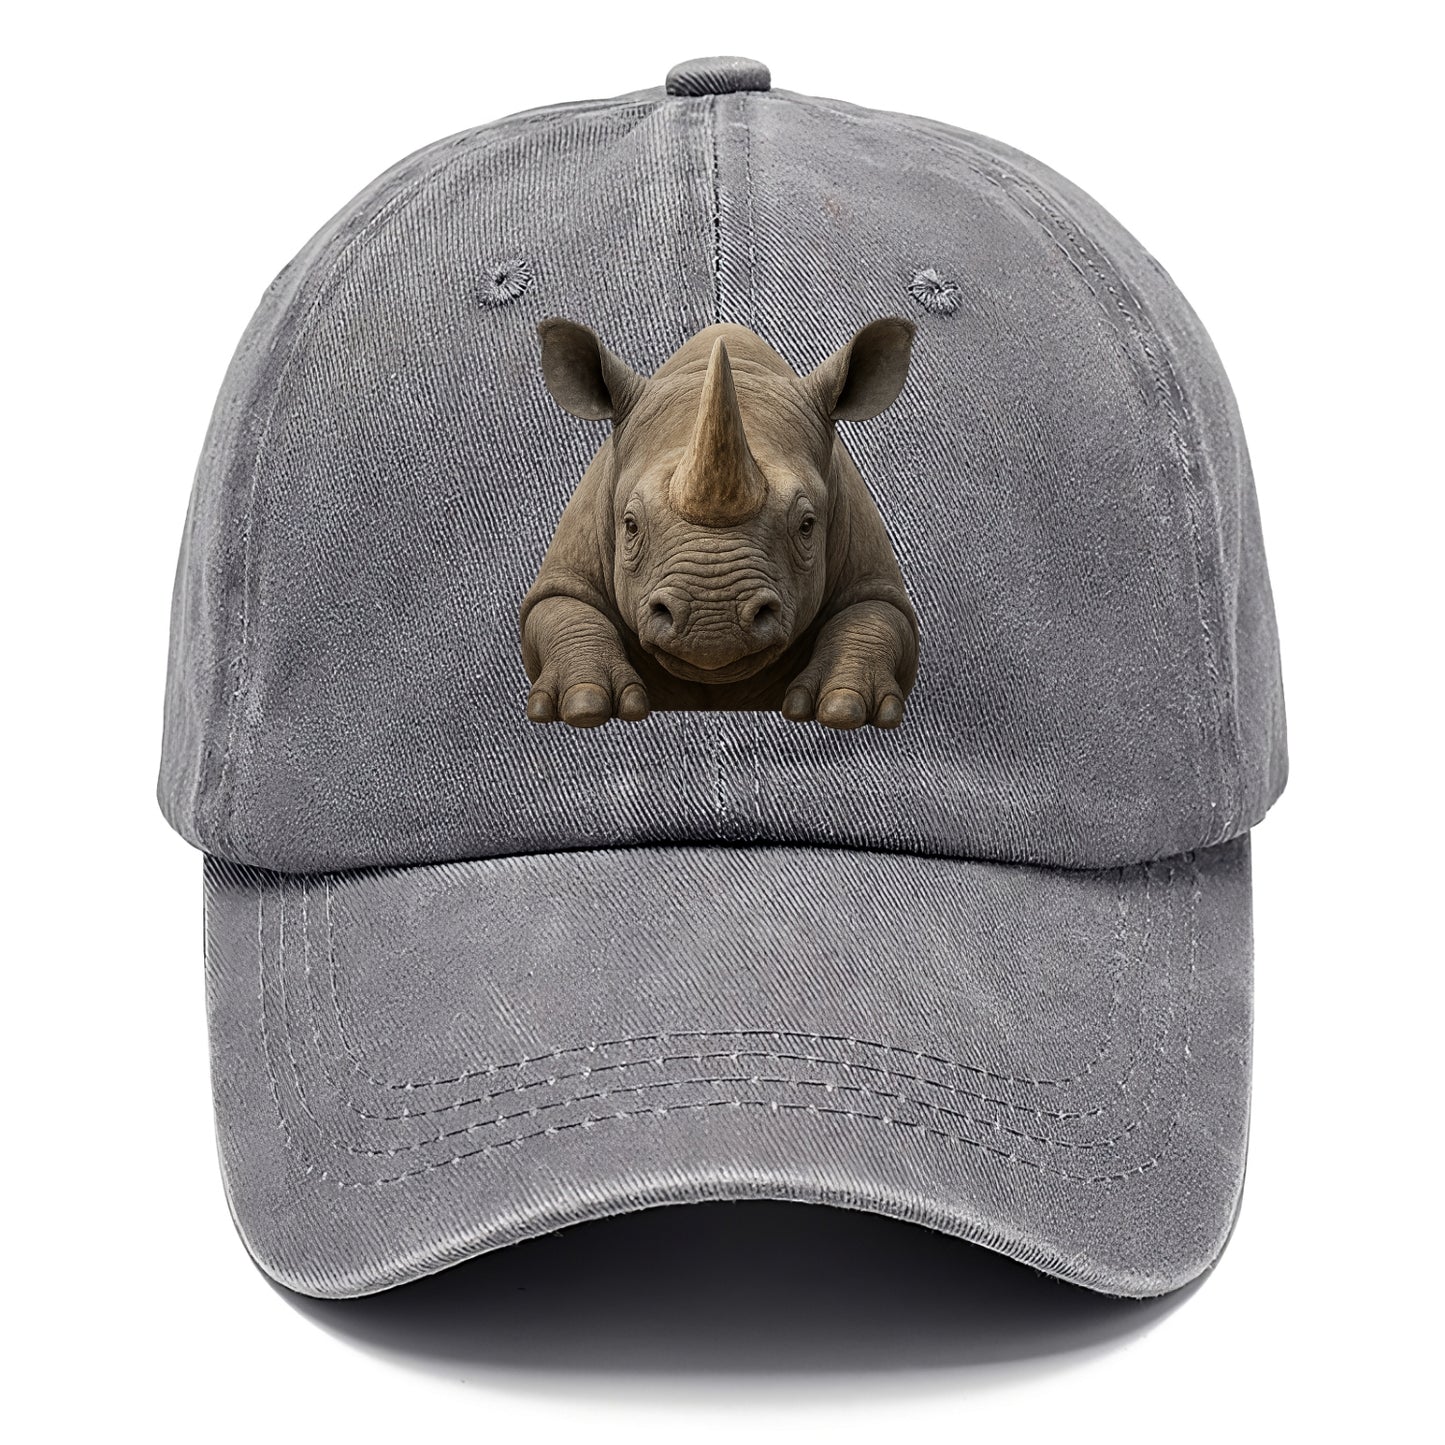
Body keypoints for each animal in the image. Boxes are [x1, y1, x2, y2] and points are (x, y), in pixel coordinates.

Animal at [520, 317, 920, 730]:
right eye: (630, 525)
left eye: (807, 525)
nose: (713, 624)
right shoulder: (568, 568)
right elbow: (562, 608)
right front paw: (584, 705)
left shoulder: (870, 569)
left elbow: (876, 614)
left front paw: (843, 708)